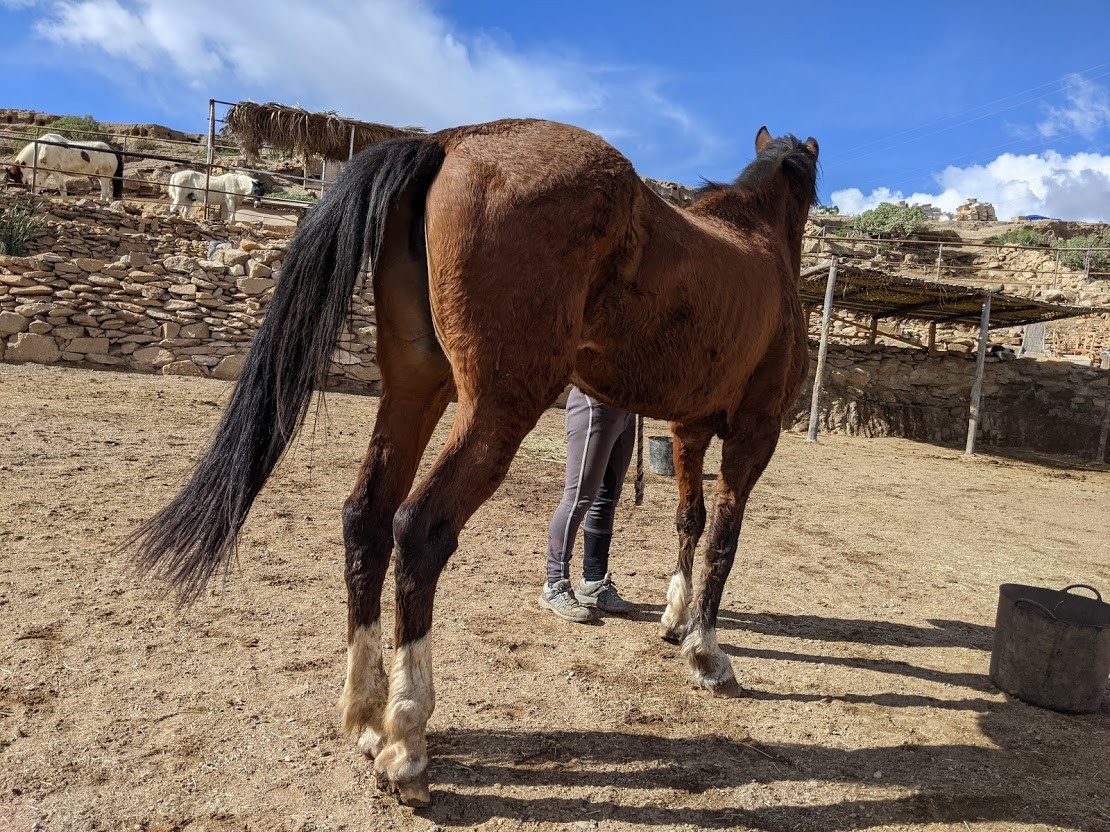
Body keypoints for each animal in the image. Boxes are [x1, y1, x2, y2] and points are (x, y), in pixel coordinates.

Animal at [122, 118, 818, 807]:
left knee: (365, 518)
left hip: (416, 390)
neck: (755, 242)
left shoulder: (687, 430)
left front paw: (676, 621)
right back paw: (405, 743)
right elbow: (723, 541)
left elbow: (689, 523)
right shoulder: (753, 436)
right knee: (419, 529)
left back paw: (368, 717)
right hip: (496, 408)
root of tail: (452, 140)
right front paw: (708, 655)